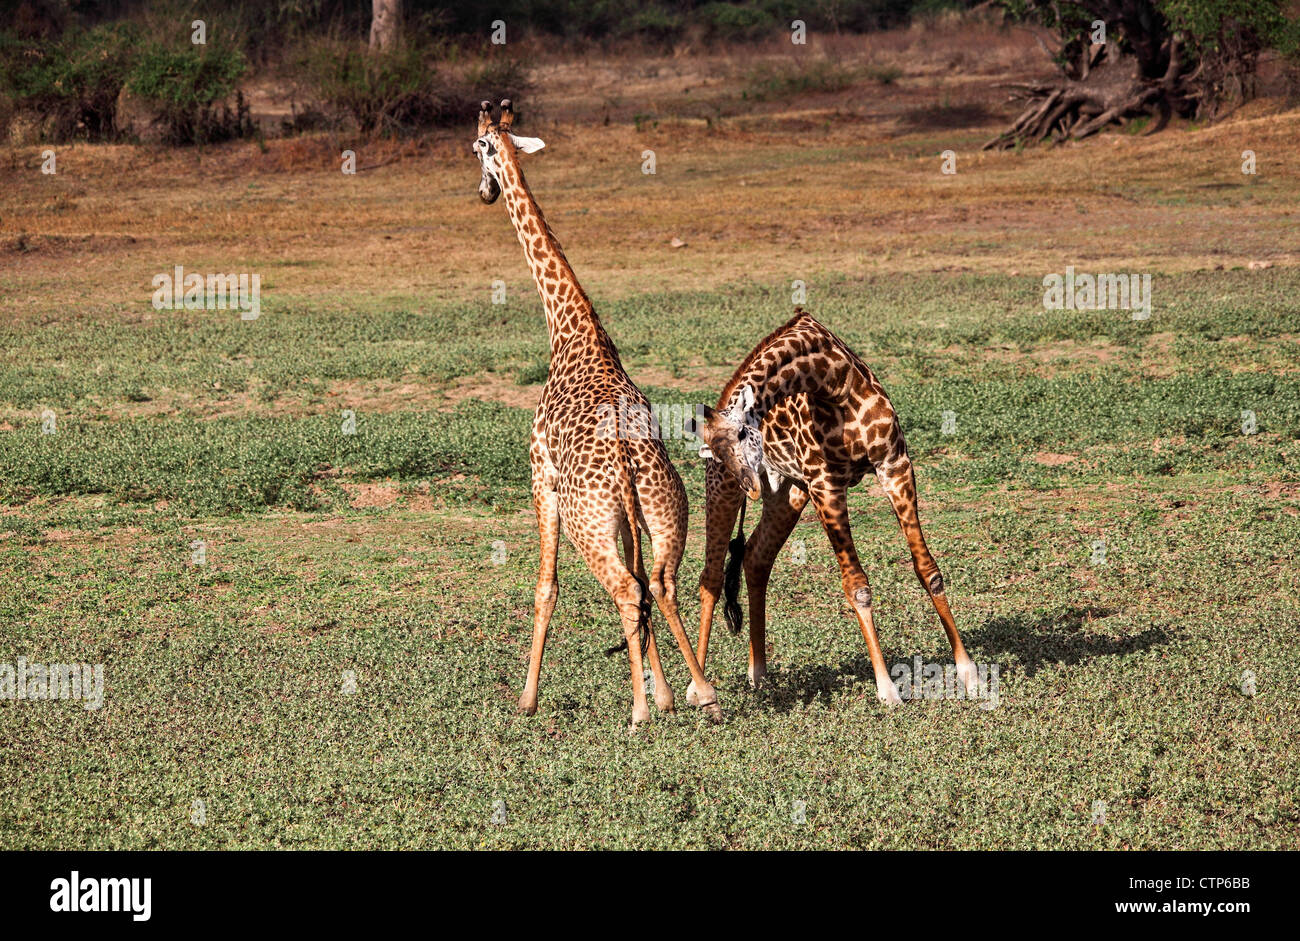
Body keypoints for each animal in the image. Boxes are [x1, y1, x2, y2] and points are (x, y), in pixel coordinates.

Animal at [473, 99, 728, 722]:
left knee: (626, 588)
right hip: (666, 510)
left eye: (474, 148)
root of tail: (628, 465)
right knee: (659, 582)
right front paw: (665, 693)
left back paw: (637, 712)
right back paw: (701, 692)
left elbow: (545, 587)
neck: (570, 329)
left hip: (589, 523)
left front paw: (527, 699)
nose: (485, 192)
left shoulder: (540, 476)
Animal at [681, 309, 977, 707]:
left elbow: (928, 570)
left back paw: (758, 672)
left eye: (743, 433)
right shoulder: (826, 484)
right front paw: (887, 689)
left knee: (756, 556)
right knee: (711, 579)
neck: (834, 381)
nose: (750, 486)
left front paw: (968, 672)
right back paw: (698, 687)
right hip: (725, 494)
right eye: (718, 452)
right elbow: (857, 586)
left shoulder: (894, 464)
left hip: (788, 492)